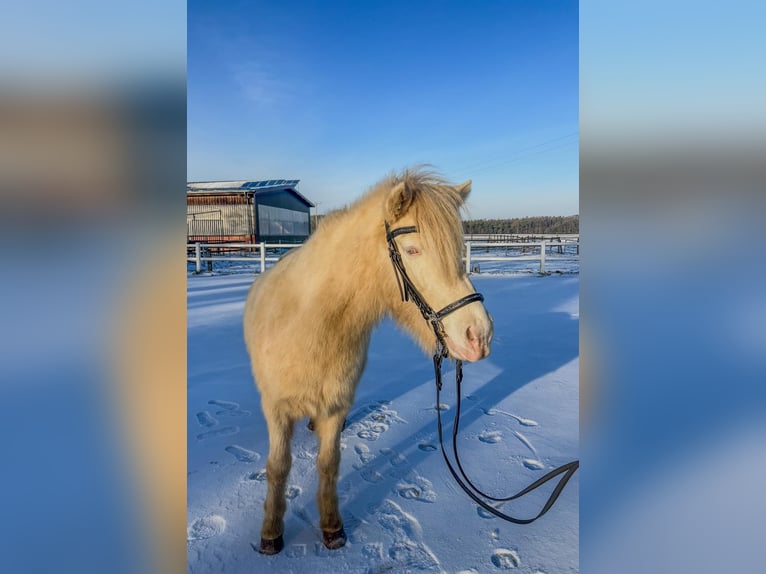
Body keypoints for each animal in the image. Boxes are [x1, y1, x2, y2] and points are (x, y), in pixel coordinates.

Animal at [243, 168, 493, 554]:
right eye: (412, 249)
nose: (478, 335)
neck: (310, 324)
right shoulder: (276, 410)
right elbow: (278, 467)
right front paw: (271, 532)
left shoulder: (335, 406)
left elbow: (329, 464)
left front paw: (332, 527)